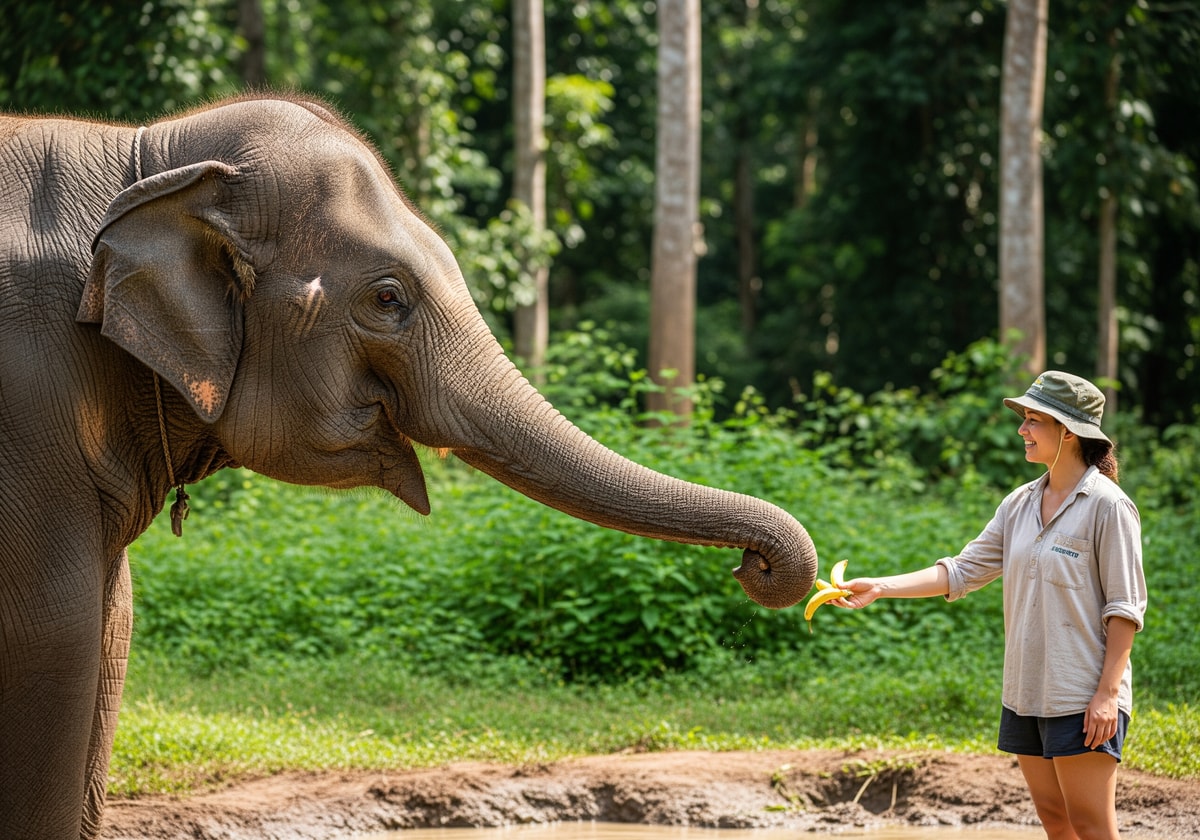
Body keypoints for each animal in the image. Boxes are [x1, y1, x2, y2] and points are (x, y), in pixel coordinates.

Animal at [0, 94, 817, 839]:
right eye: (388, 298)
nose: (757, 566)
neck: (147, 156)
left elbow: (114, 625)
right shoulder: (27, 404)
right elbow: (56, 632)